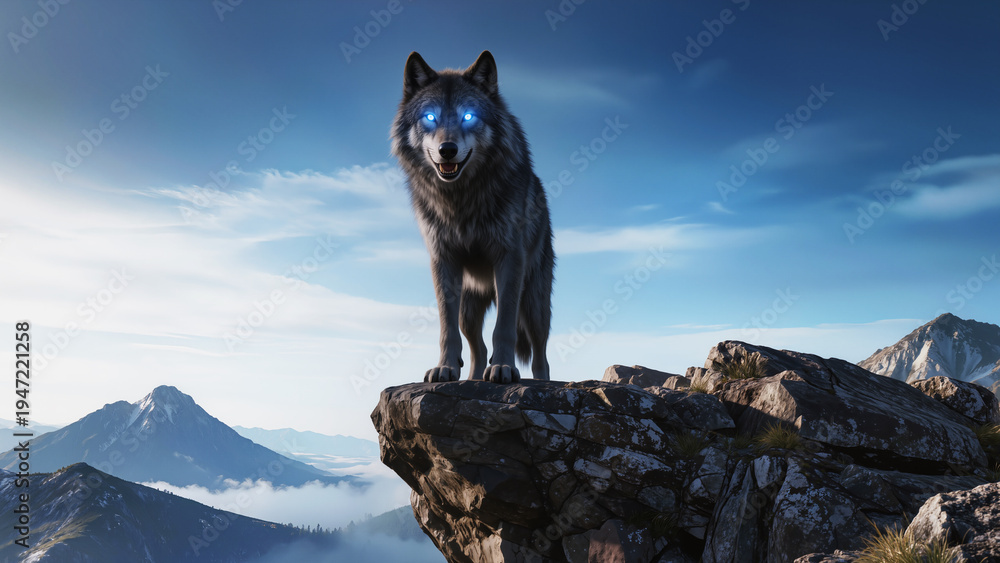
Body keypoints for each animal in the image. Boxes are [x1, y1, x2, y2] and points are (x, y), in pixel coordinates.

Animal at [390, 50, 555, 384]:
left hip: (534, 306)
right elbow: (447, 329)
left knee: (540, 357)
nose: (447, 149)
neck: (461, 200)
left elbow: (503, 327)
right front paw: (445, 368)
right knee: (477, 348)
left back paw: (542, 383)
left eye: (468, 116)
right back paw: (474, 378)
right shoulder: (443, 261)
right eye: (430, 117)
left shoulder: (509, 260)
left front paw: (504, 367)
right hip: (469, 307)